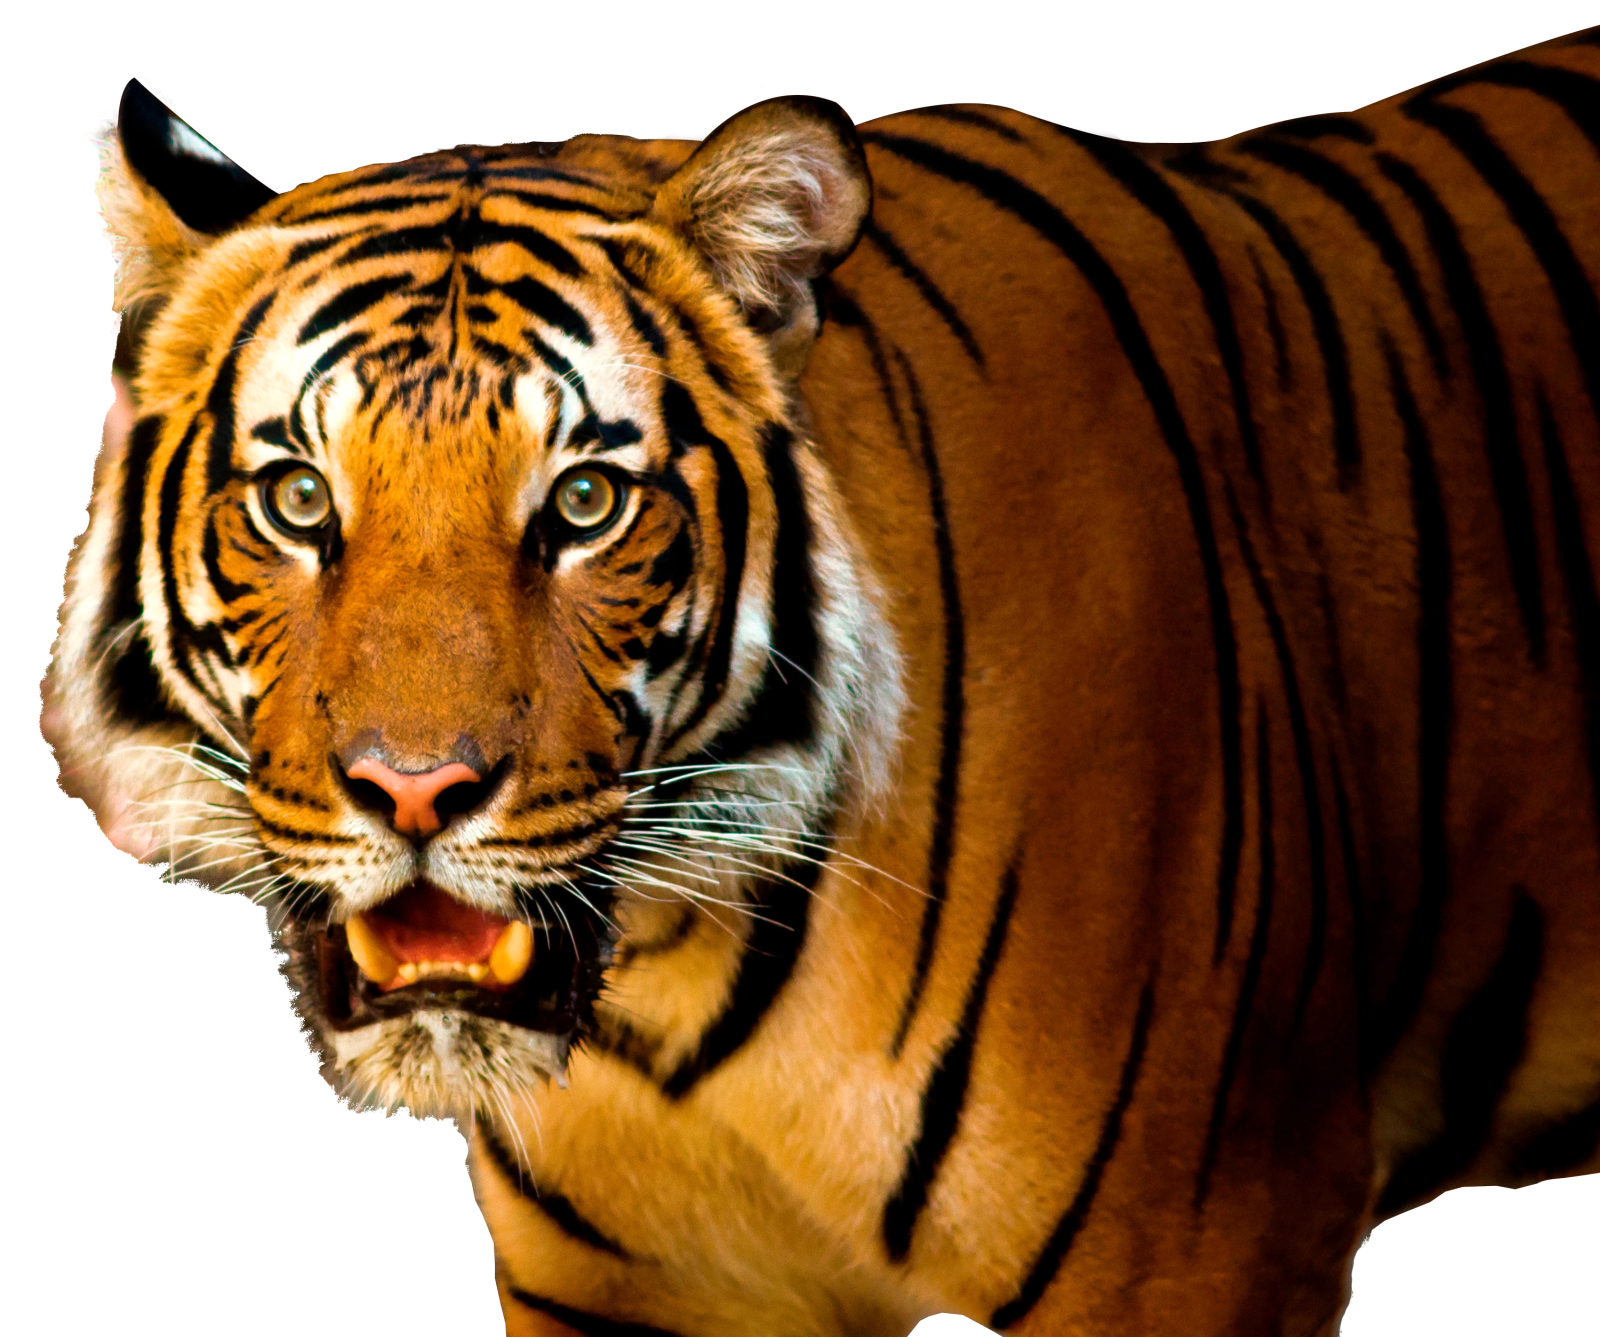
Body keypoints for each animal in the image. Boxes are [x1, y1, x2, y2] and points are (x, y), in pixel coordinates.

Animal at [42, 27, 1600, 1337]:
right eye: (300, 499)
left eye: (587, 500)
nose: (414, 792)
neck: (675, 995)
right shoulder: (616, 1294)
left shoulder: (1198, 1248)